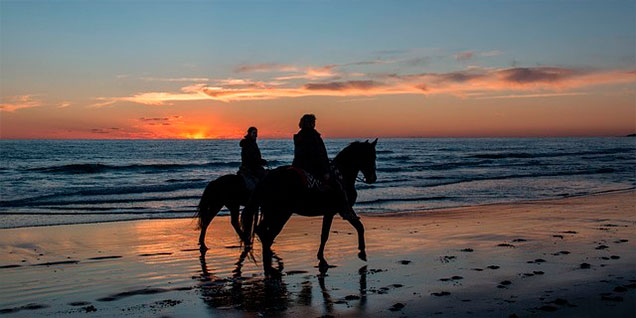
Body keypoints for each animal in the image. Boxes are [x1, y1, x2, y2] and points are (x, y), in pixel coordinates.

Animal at [241, 139, 376, 274]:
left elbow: (359, 227)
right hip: (280, 213)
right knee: (267, 233)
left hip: (274, 212)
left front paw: (361, 252)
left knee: (264, 232)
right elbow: (326, 235)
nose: (372, 178)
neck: (341, 176)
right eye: (371, 156)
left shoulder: (341, 211)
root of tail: (267, 179)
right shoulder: (335, 211)